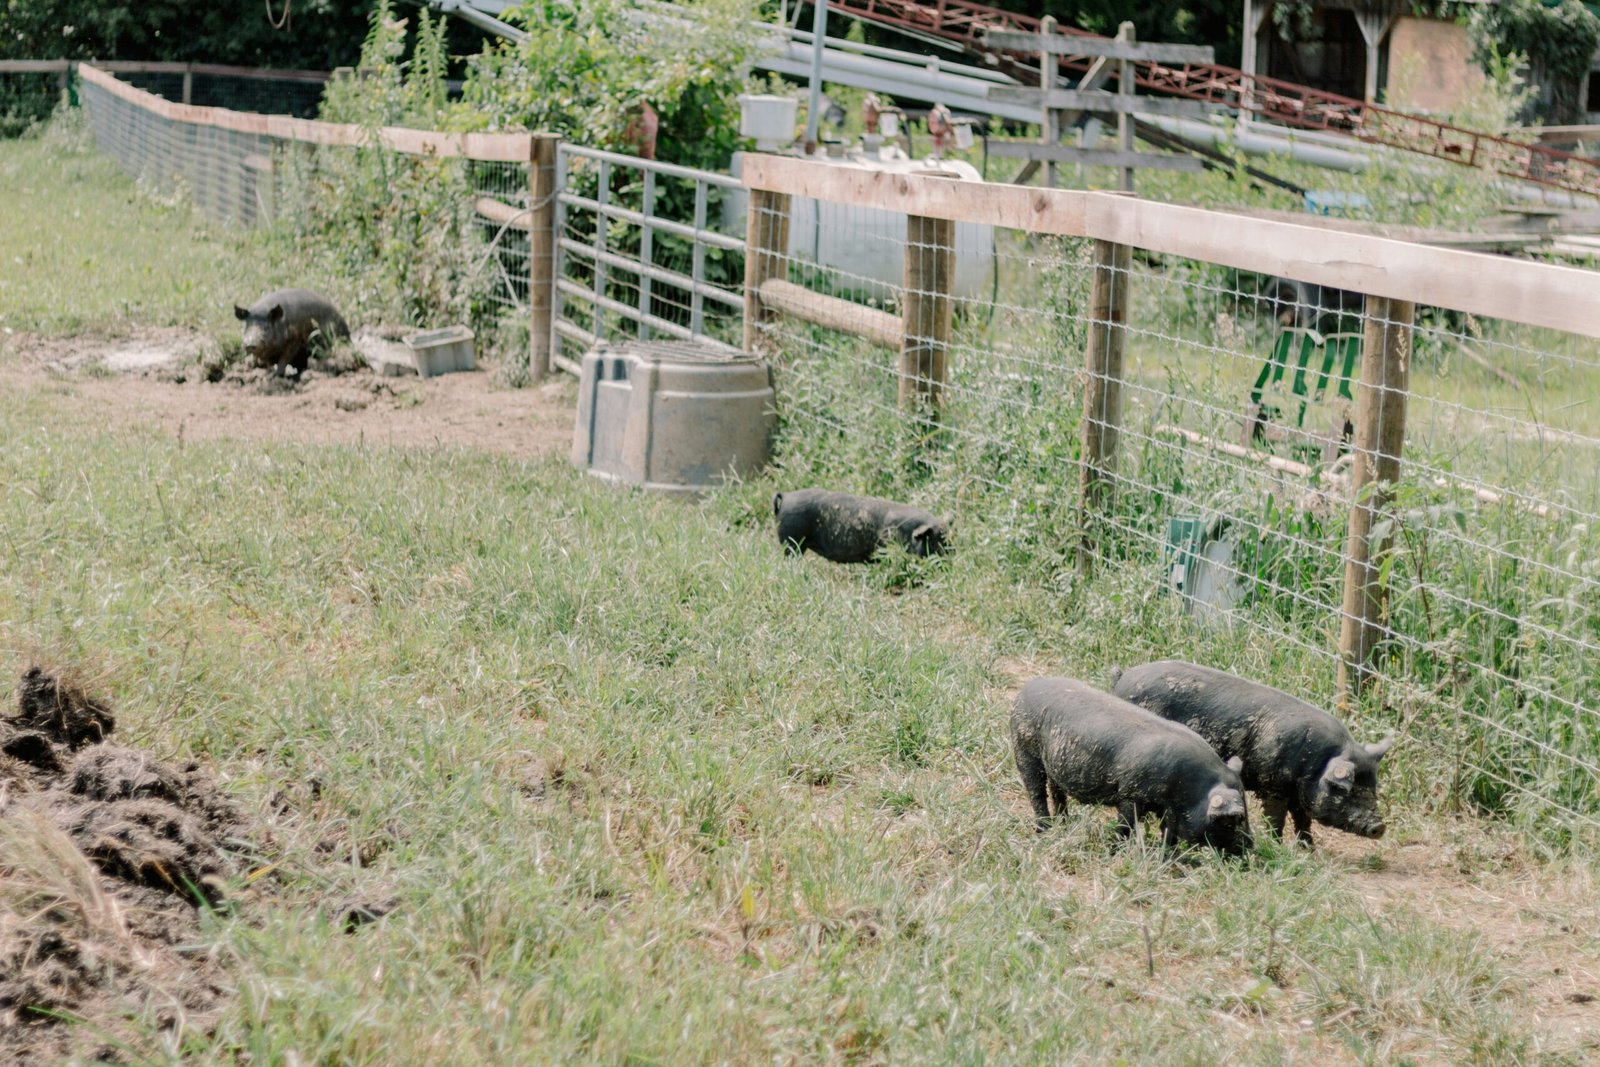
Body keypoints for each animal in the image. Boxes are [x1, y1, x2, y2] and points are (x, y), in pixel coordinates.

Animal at [1010, 677, 1251, 854]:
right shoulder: (1130, 794)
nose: (1251, 846)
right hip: (1024, 750)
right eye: (1232, 819)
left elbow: (1168, 832)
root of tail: (1024, 690)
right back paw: (1044, 830)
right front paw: (1114, 851)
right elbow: (1126, 825)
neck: (1188, 787)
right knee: (1036, 791)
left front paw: (1168, 857)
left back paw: (1065, 822)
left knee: (1056, 790)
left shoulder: (1168, 808)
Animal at [1111, 660, 1394, 846]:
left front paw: (1308, 849)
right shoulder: (1273, 786)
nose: (1380, 826)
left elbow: (1303, 820)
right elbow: (1276, 819)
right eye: (1348, 790)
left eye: (1373, 788)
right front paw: (1277, 844)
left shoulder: (1297, 791)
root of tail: (1123, 677)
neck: (1315, 762)